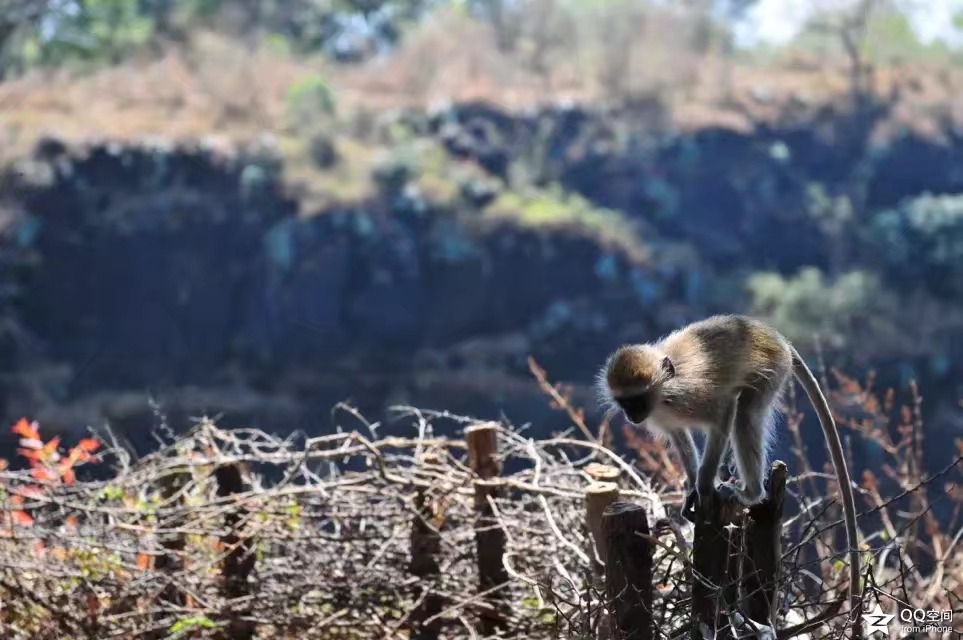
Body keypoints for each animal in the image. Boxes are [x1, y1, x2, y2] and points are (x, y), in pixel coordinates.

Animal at [600, 316, 864, 620]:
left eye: (637, 399)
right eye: (624, 401)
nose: (632, 415)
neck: (664, 393)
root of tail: (775, 336)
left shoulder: (692, 396)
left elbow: (724, 413)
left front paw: (703, 486)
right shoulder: (665, 418)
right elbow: (680, 436)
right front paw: (692, 489)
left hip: (772, 368)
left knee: (744, 414)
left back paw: (751, 493)